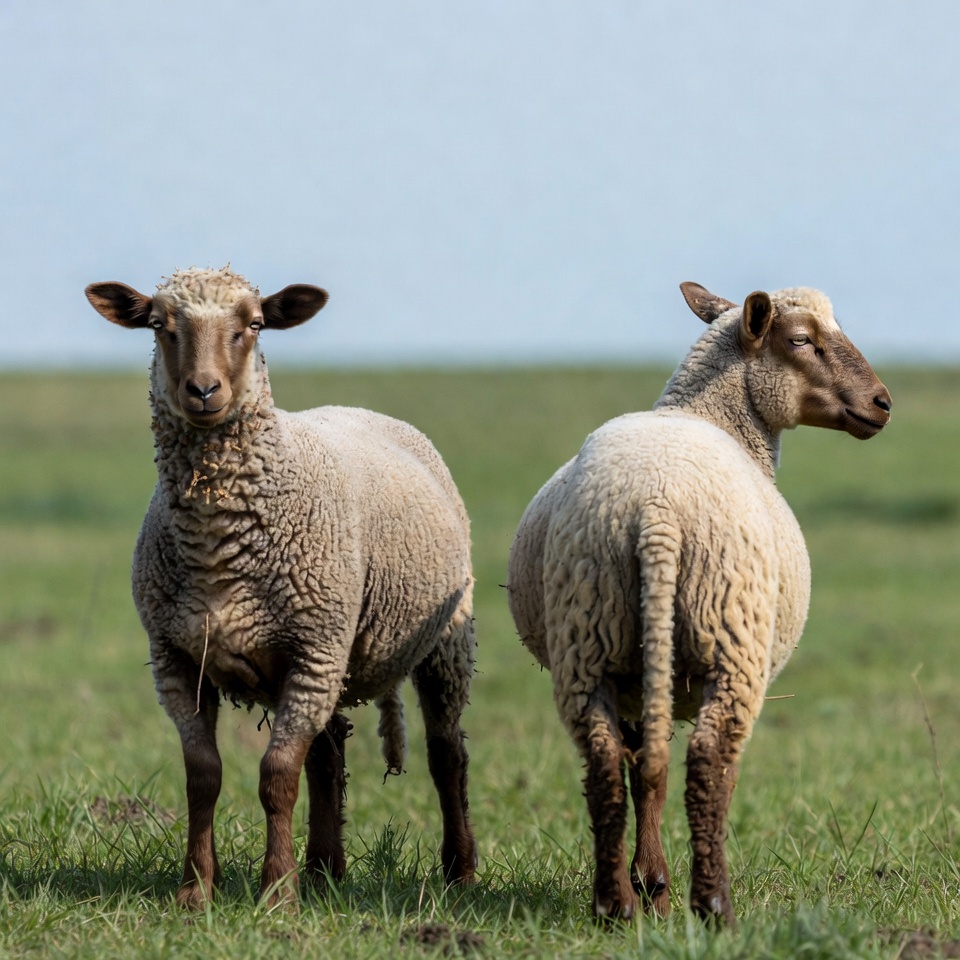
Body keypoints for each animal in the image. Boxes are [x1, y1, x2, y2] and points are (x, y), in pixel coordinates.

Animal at [84, 266, 478, 907]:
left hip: (440, 639)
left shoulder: (314, 649)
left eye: (254, 325)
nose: (202, 390)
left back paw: (459, 871)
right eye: (159, 325)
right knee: (329, 752)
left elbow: (276, 778)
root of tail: (356, 407)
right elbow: (203, 777)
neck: (218, 541)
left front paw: (275, 894)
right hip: (325, 657)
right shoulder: (176, 660)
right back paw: (322, 869)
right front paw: (196, 891)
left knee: (446, 753)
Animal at [506, 282, 891, 926]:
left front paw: (649, 882)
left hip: (590, 634)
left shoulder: (636, 679)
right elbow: (693, 772)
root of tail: (656, 510)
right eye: (801, 340)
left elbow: (645, 769)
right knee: (711, 762)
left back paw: (617, 903)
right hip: (730, 636)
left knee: (608, 763)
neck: (710, 414)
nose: (882, 403)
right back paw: (714, 905)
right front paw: (663, 886)